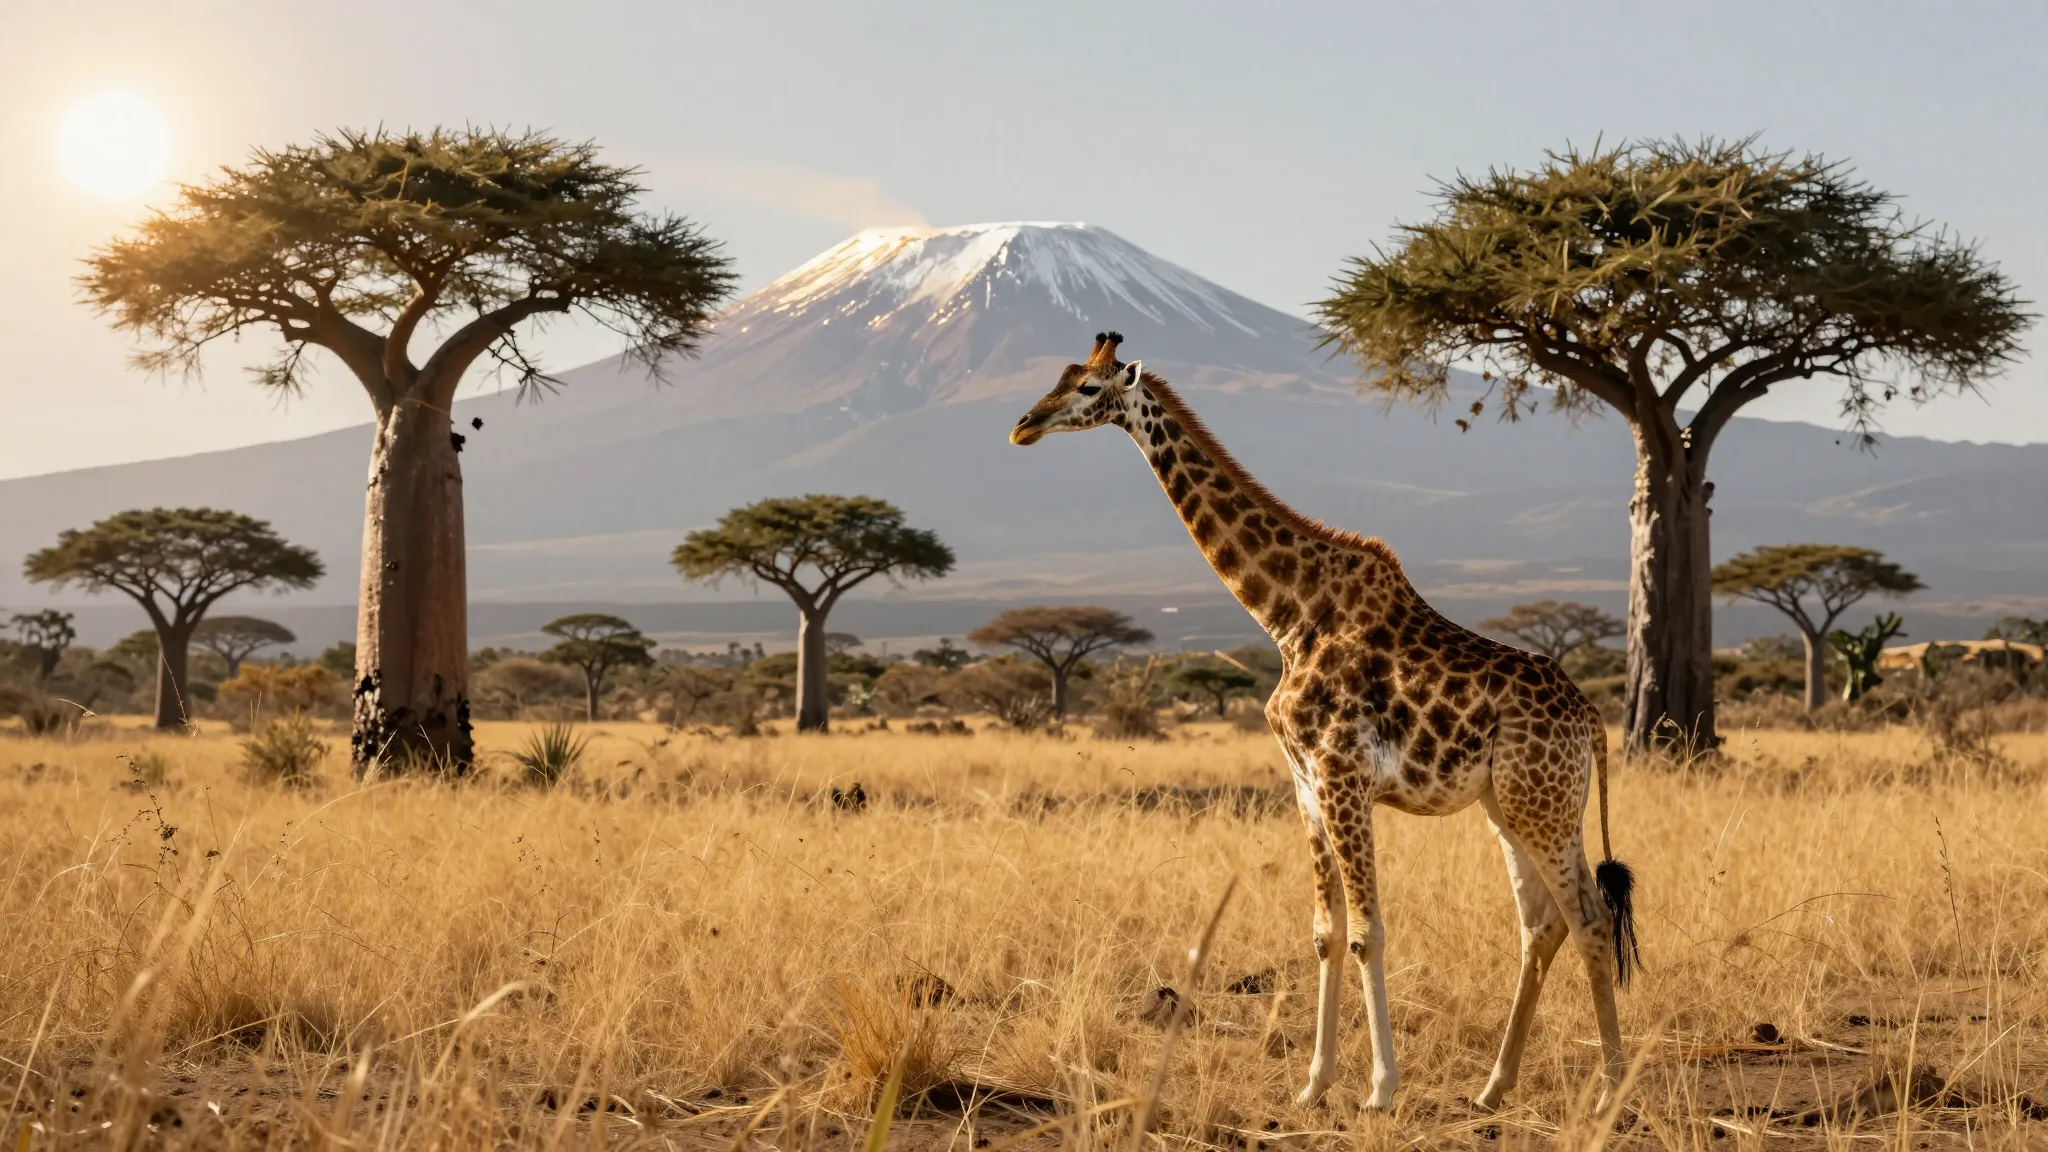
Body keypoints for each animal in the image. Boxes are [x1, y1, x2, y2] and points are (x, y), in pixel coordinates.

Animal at [1009, 333, 1641, 1114]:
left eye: (1090, 389)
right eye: (1060, 375)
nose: (1024, 425)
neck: (1288, 615)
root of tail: (1593, 721)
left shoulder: (1343, 777)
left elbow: (1368, 932)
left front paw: (1380, 1090)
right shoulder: (1307, 783)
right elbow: (1324, 933)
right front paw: (1313, 1085)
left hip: (1542, 804)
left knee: (1588, 918)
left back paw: (1609, 1091)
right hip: (1511, 805)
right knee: (1542, 923)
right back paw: (1494, 1088)